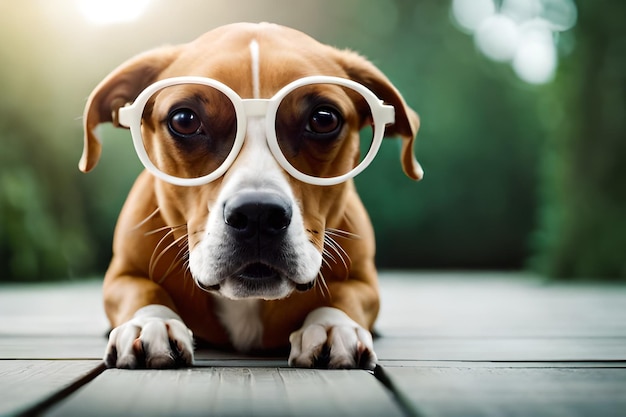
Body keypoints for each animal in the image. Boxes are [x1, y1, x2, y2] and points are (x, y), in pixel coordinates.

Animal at [78, 22, 420, 368]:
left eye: (324, 119)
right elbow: (141, 290)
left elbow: (346, 294)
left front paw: (333, 326)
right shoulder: (123, 273)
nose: (258, 213)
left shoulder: (364, 282)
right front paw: (150, 322)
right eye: (184, 120)